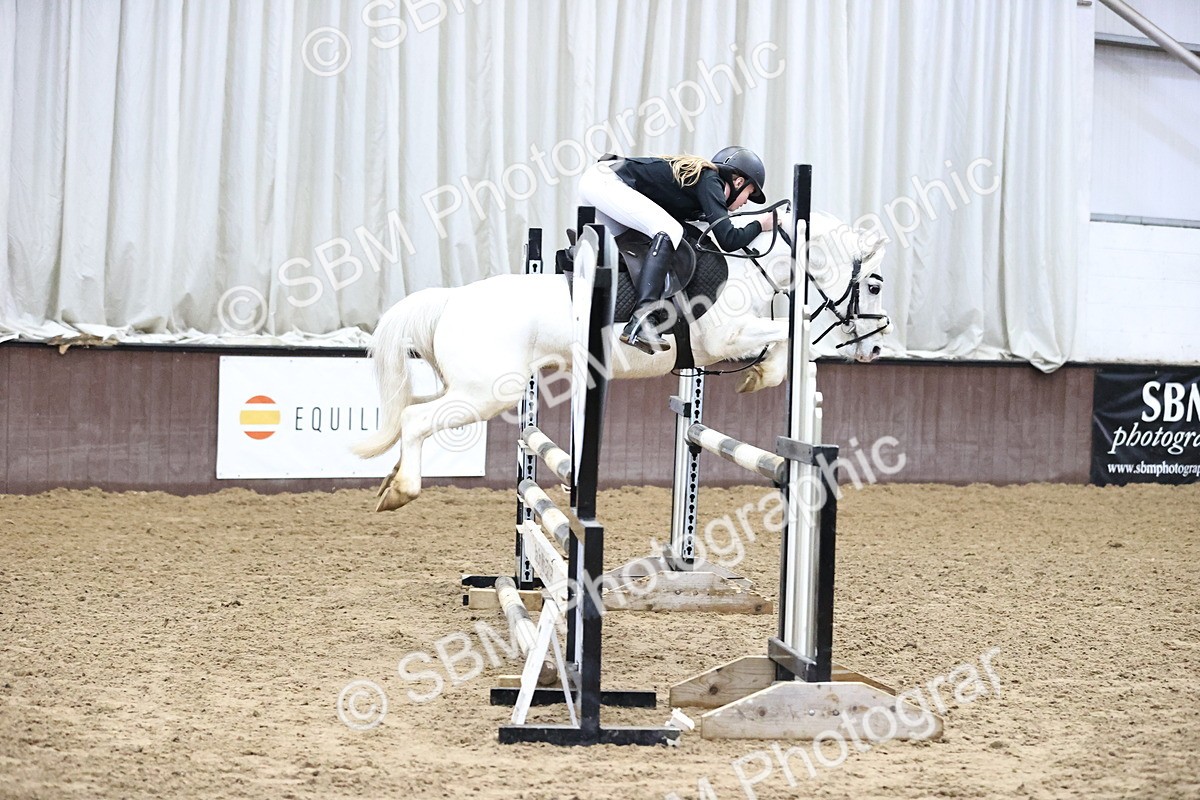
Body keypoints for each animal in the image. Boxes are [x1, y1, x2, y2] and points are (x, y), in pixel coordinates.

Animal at [356, 211, 891, 512]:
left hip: (468, 387)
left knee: (411, 411)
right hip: (486, 393)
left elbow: (783, 340)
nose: (876, 349)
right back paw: (401, 490)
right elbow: (790, 337)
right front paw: (764, 375)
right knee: (416, 419)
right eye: (874, 284)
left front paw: (758, 375)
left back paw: (390, 480)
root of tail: (452, 299)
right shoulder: (722, 338)